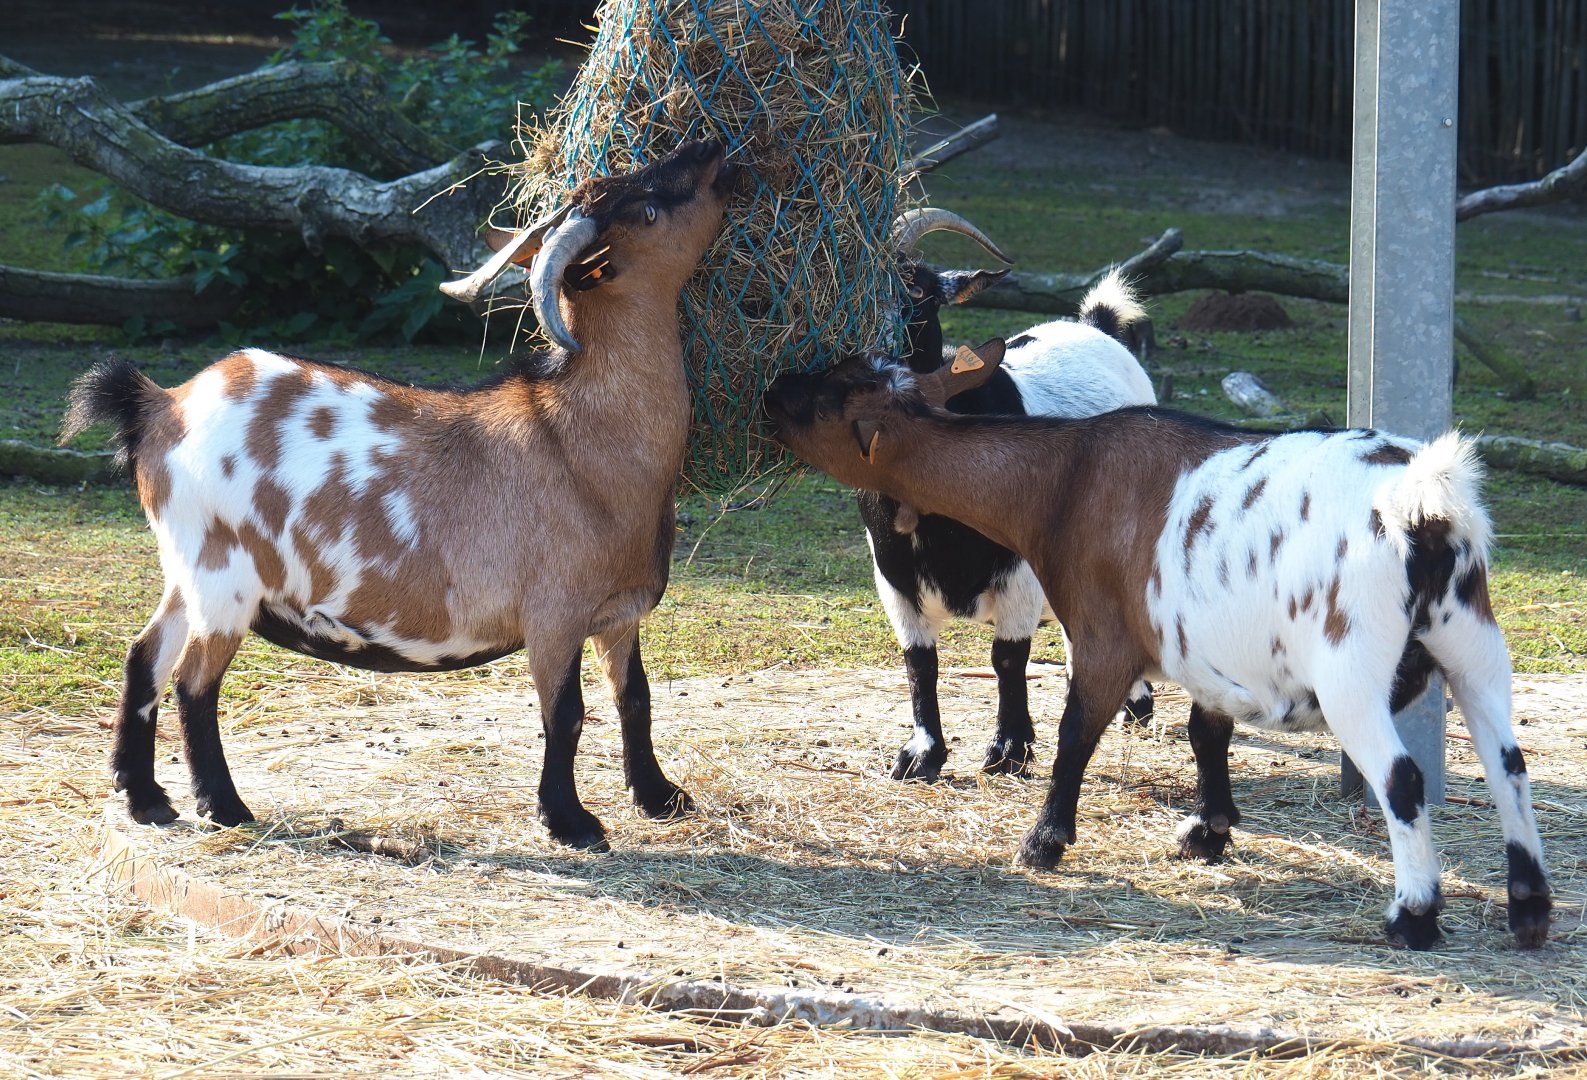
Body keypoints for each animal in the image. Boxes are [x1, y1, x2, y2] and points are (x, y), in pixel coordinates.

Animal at [60, 141, 739, 851]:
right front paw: (570, 822)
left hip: (185, 569)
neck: (579, 435)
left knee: (144, 656)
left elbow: (634, 697)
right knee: (195, 681)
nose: (714, 151)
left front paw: (661, 797)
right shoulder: (554, 613)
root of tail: (162, 406)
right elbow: (566, 713)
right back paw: (223, 806)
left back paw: (144, 798)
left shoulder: (617, 612)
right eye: (649, 209)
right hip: (226, 576)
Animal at [762, 342, 1551, 949]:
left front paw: (1043, 842)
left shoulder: (1103, 637)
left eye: (830, 397)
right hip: (1473, 644)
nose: (773, 389)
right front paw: (1209, 832)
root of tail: (1426, 507)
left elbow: (1076, 733)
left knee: (1402, 779)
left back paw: (1412, 916)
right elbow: (1207, 733)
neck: (1060, 485)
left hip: (1351, 669)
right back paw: (1529, 909)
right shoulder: (1211, 653)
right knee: (1507, 764)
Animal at [871, 211, 1157, 779]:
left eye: (917, 288)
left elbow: (1007, 657)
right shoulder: (893, 574)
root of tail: (1095, 325)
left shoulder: (1020, 570)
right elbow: (920, 661)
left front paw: (1009, 749)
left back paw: (1133, 705)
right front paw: (922, 755)